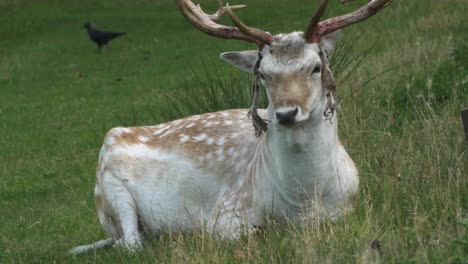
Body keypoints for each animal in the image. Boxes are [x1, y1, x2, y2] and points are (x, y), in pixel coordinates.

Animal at [68, 0, 392, 254]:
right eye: (263, 74)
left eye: (316, 67)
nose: (286, 113)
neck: (303, 204)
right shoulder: (227, 212)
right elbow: (255, 233)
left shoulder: (349, 208)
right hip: (109, 188)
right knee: (130, 243)